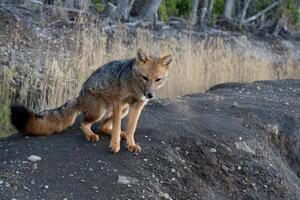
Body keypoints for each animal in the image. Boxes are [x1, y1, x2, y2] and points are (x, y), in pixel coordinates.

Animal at [10, 48, 172, 153]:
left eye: (158, 80)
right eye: (145, 78)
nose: (150, 95)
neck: (135, 86)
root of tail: (79, 96)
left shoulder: (137, 105)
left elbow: (132, 128)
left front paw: (130, 144)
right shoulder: (119, 103)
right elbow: (117, 127)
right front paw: (115, 145)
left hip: (122, 110)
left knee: (103, 126)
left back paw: (122, 135)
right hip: (102, 109)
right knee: (85, 124)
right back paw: (92, 135)